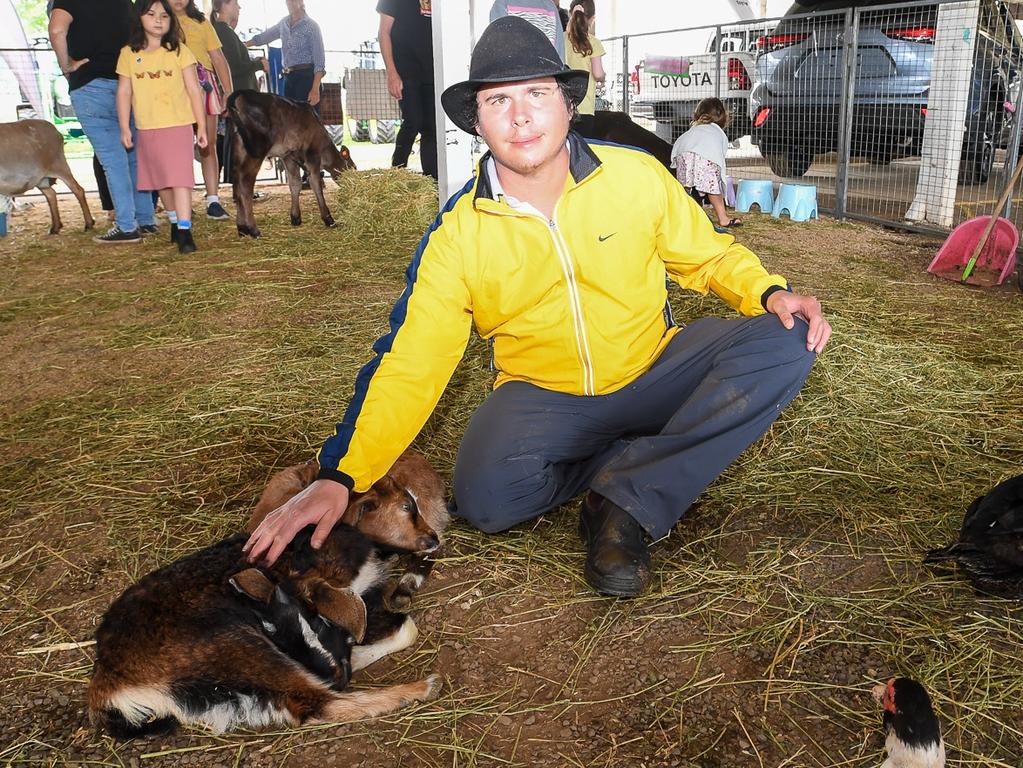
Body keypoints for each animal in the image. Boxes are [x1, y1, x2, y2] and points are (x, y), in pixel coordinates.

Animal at [90, 449, 450, 740]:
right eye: (406, 507)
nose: (433, 537)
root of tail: (109, 686)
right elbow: (397, 625)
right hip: (235, 647)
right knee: (318, 704)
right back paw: (419, 686)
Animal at [230, 88, 358, 237]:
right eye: (353, 168)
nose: (353, 187)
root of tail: (242, 94)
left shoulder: (288, 156)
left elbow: (295, 184)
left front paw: (296, 217)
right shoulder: (312, 154)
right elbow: (316, 184)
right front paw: (328, 218)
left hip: (239, 148)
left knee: (237, 182)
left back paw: (242, 228)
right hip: (256, 150)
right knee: (245, 184)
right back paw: (253, 229)